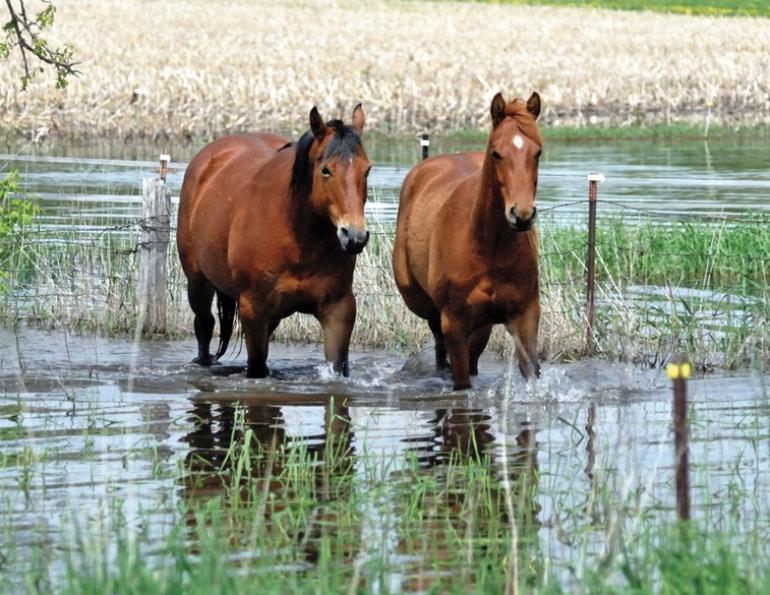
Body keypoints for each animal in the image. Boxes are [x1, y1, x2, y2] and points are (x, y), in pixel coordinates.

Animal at [177, 105, 371, 378]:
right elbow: (257, 368)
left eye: (367, 169)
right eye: (326, 170)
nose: (354, 236)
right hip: (198, 282)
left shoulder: (339, 310)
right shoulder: (253, 309)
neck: (300, 239)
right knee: (204, 326)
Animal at [392, 92, 543, 390]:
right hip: (424, 305)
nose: (521, 215)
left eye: (538, 152)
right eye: (496, 153)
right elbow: (461, 382)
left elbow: (531, 370)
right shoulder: (455, 324)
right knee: (438, 341)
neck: (489, 247)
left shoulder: (525, 315)